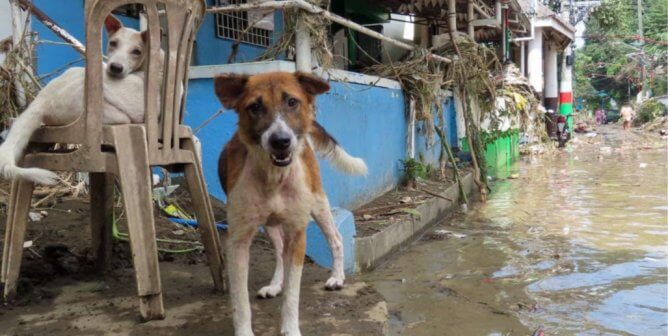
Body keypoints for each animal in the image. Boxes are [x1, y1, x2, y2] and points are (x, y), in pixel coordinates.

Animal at [217, 71, 366, 336]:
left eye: (292, 102)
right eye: (255, 106)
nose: (281, 141)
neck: (274, 177)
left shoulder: (297, 234)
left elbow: (292, 296)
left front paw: (290, 328)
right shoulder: (238, 240)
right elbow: (240, 300)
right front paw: (244, 329)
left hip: (318, 203)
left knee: (336, 238)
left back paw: (337, 277)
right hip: (270, 224)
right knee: (278, 252)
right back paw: (275, 284)